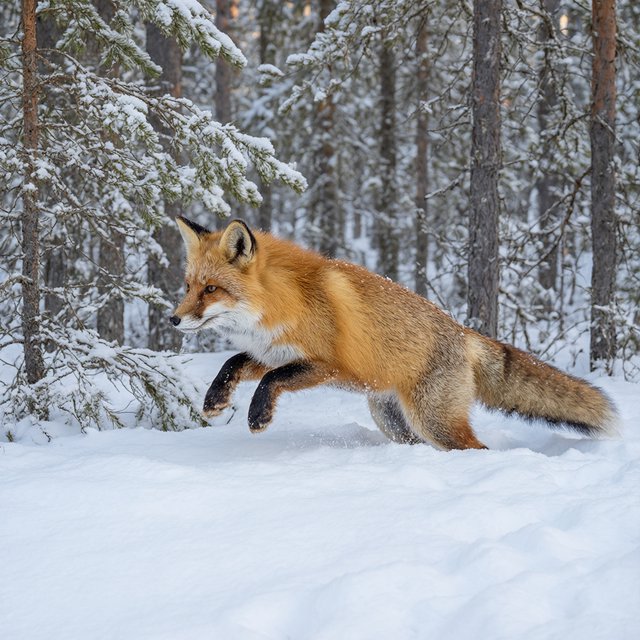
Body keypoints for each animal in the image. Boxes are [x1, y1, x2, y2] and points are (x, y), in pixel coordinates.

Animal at [170, 216, 617, 450]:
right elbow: (233, 363)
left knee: (475, 448)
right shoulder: (271, 352)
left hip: (433, 420)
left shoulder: (327, 366)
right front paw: (213, 400)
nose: (174, 319)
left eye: (212, 289)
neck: (283, 301)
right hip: (393, 420)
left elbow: (270, 381)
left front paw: (257, 416)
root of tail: (464, 333)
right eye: (188, 285)